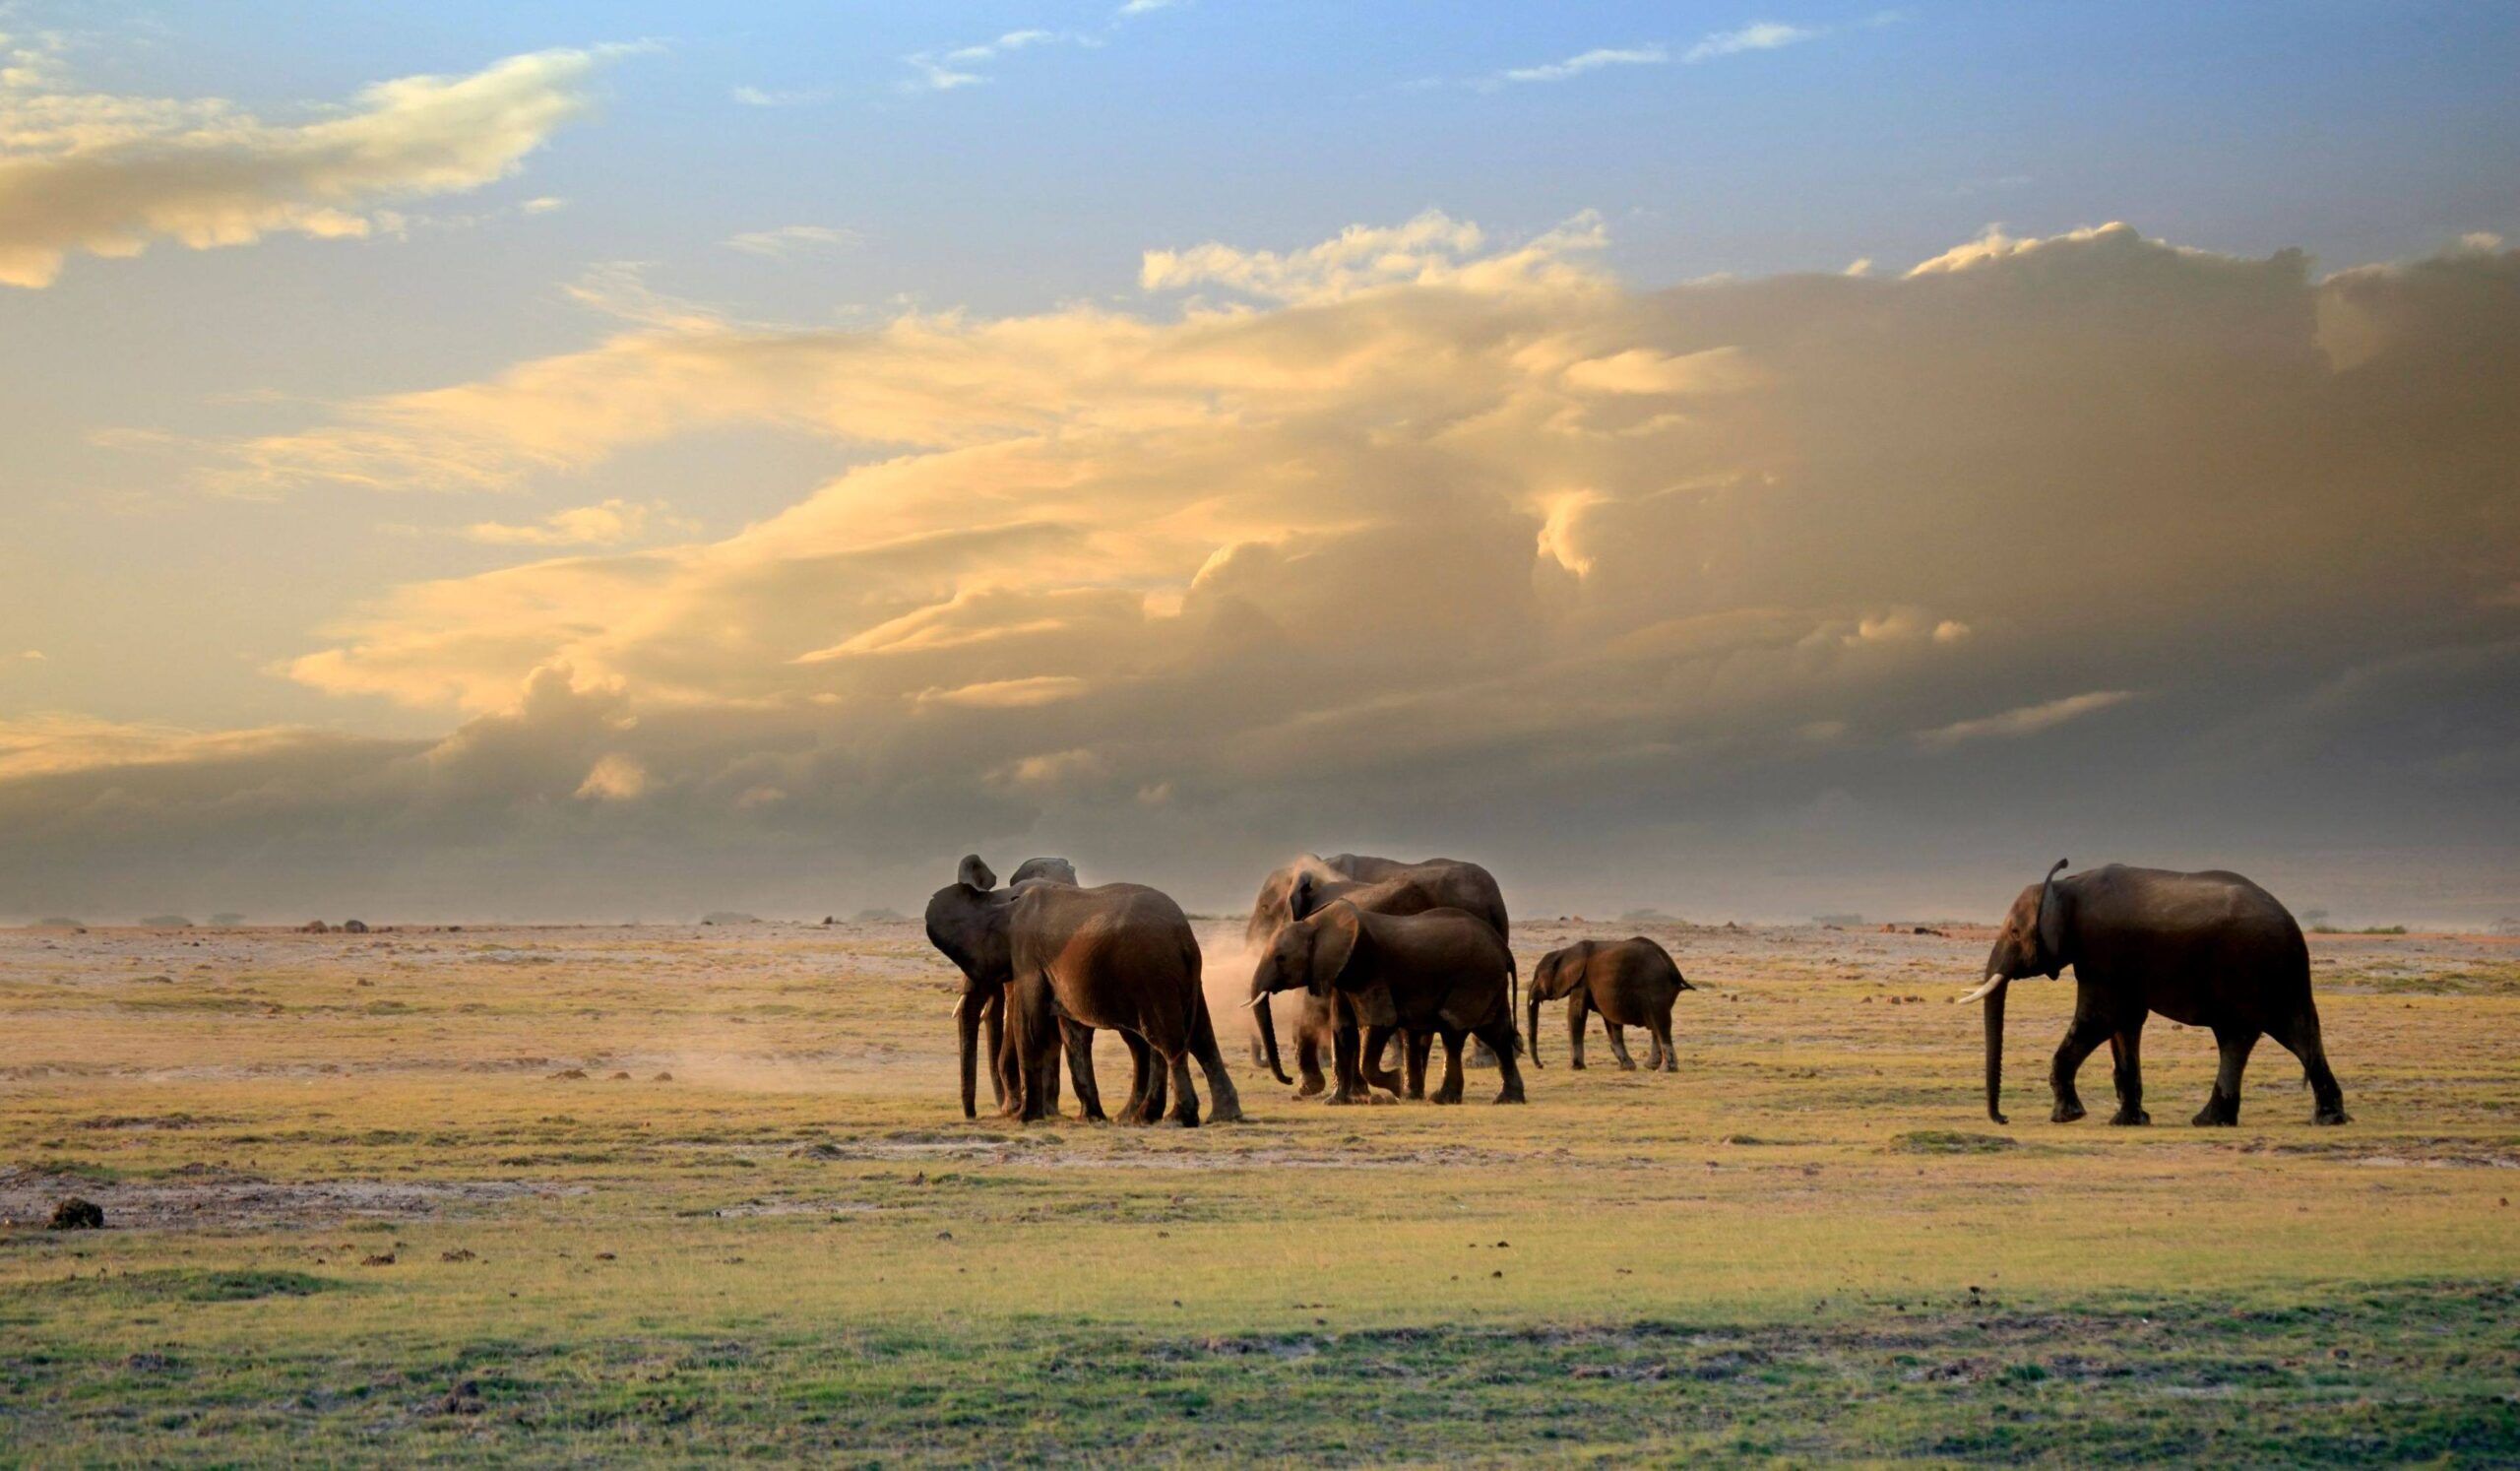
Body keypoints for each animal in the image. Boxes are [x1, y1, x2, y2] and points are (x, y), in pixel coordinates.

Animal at [927, 851, 1239, 1128]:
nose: (972, 1116)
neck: (1004, 901)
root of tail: (1184, 936)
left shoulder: (1027, 955)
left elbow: (1028, 1025)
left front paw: (1024, 1119)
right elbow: (1072, 1032)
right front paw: (1090, 1117)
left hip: (1153, 973)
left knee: (1165, 1041)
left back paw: (1173, 1118)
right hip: (1182, 977)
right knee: (1198, 1036)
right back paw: (1210, 1116)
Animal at [1512, 936, 1693, 1072]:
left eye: (1537, 977)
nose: (1541, 1065)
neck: (1565, 951)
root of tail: (1671, 965)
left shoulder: (1581, 982)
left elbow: (1576, 1015)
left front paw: (1574, 1067)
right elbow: (1611, 1023)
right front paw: (1627, 1067)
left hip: (1654, 986)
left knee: (1660, 1024)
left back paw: (1665, 1070)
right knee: (1656, 1025)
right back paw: (1651, 1066)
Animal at [1955, 861, 2348, 1128]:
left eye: (2015, 932)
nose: (2004, 1118)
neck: (2066, 886)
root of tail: (2292, 925)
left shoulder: (2102, 949)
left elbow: (2100, 1018)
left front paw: (2067, 1117)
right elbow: (2124, 1025)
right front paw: (2127, 1121)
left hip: (2250, 966)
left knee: (2244, 1037)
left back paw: (2215, 1120)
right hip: (2277, 974)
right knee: (2290, 1035)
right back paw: (2320, 1118)